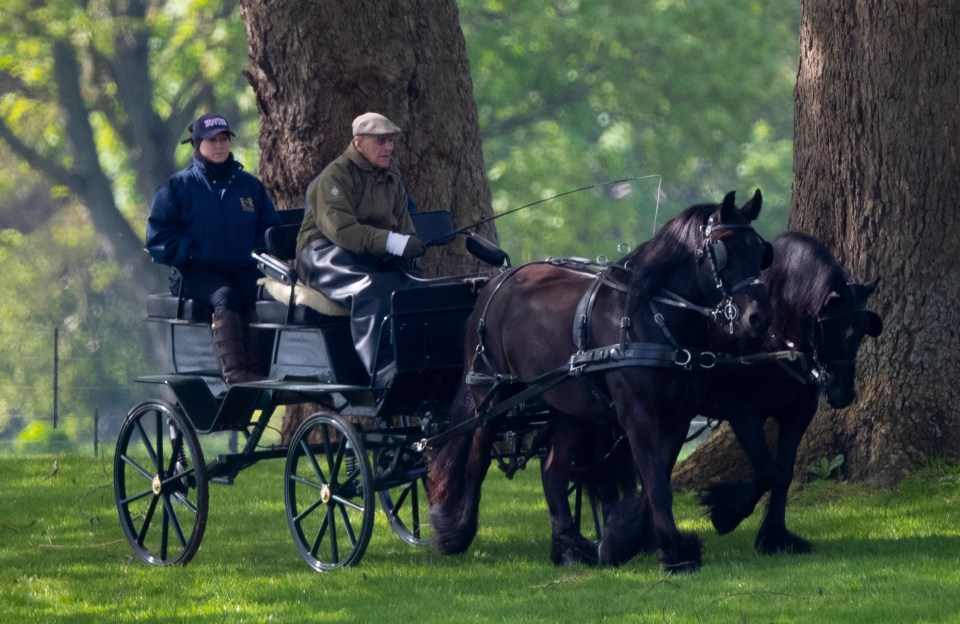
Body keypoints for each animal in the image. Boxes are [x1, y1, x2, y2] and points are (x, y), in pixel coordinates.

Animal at [428, 191, 772, 576]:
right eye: (725, 252)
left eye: (761, 251)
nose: (759, 317)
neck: (651, 316)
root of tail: (498, 281)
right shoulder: (639, 415)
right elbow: (656, 483)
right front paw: (674, 552)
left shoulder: (677, 417)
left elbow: (657, 480)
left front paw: (623, 540)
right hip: (491, 395)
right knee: (476, 462)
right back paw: (456, 533)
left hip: (568, 408)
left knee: (553, 472)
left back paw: (568, 547)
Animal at [692, 232, 880, 552]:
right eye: (829, 329)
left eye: (861, 331)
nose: (842, 394)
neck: (775, 339)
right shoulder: (741, 411)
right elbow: (768, 472)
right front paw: (726, 513)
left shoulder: (797, 414)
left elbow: (783, 474)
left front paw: (775, 536)